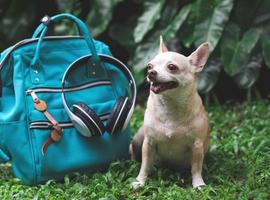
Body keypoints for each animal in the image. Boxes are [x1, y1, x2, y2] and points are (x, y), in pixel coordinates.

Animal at [130, 36, 210, 189]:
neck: (170, 105)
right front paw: (140, 181)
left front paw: (198, 184)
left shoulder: (197, 146)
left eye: (172, 67)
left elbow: (196, 168)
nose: (150, 73)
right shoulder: (148, 143)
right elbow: (144, 165)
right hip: (137, 140)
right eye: (149, 66)